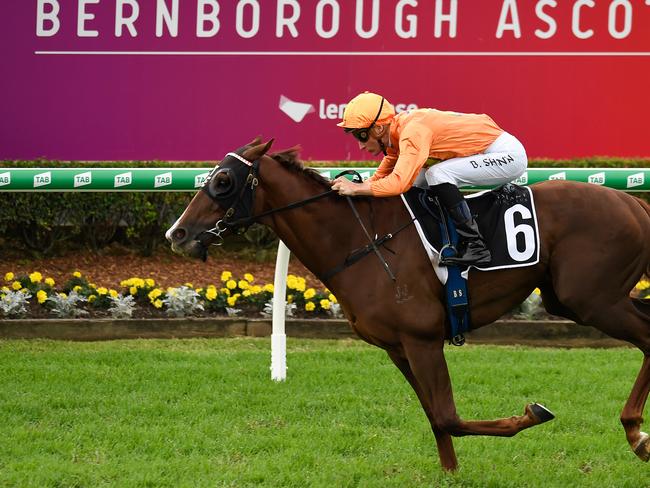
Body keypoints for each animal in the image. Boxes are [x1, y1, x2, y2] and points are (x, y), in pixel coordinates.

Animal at [167, 139, 648, 470]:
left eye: (223, 182)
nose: (178, 233)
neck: (359, 241)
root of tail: (634, 203)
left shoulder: (423, 340)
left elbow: (450, 416)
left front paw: (531, 413)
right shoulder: (397, 347)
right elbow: (435, 417)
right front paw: (451, 472)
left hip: (592, 300)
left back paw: (636, 433)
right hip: (583, 298)